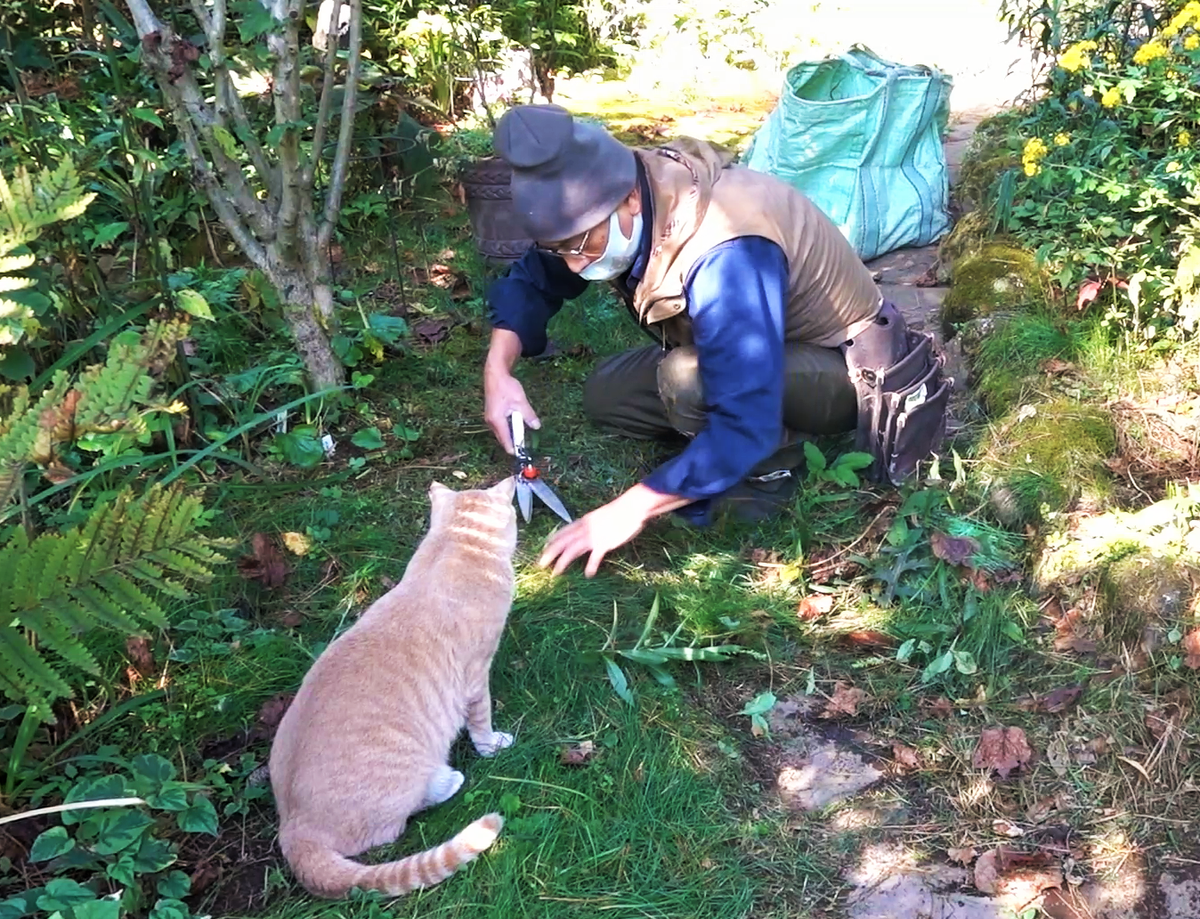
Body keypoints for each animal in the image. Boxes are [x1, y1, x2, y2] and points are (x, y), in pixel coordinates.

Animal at [267, 479, 516, 902]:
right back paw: (447, 781)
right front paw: (492, 745)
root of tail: (294, 830)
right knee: (398, 824)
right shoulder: (475, 674)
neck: (455, 546)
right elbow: (481, 721)